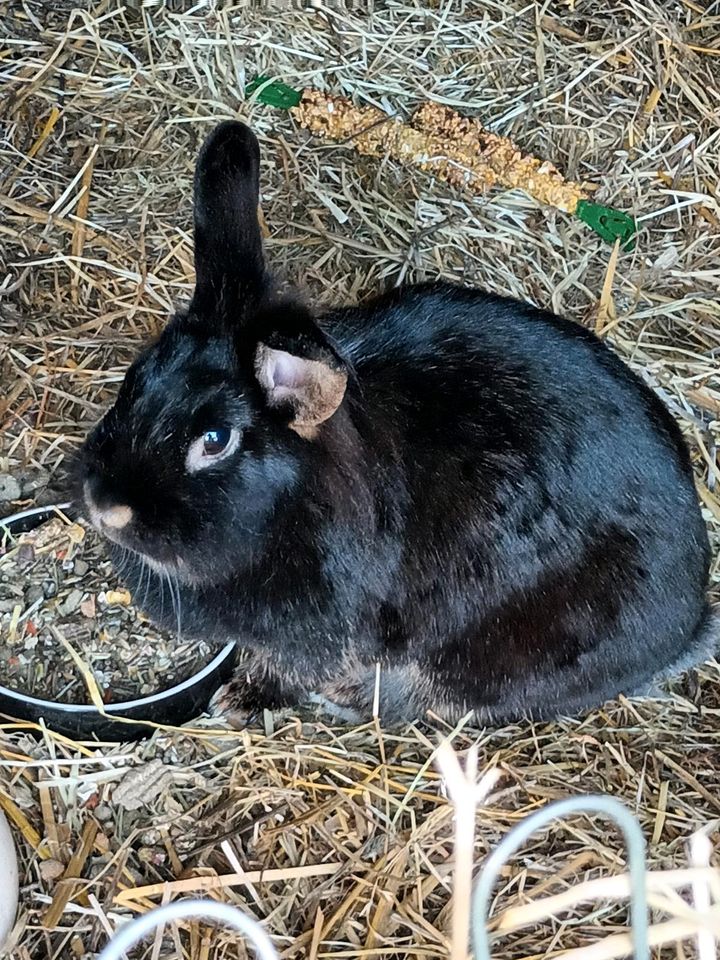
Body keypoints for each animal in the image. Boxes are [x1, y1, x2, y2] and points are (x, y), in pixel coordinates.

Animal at [74, 120, 716, 724]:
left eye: (214, 440)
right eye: (137, 376)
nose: (105, 506)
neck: (297, 504)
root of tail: (687, 620)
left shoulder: (323, 628)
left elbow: (291, 670)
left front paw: (240, 700)